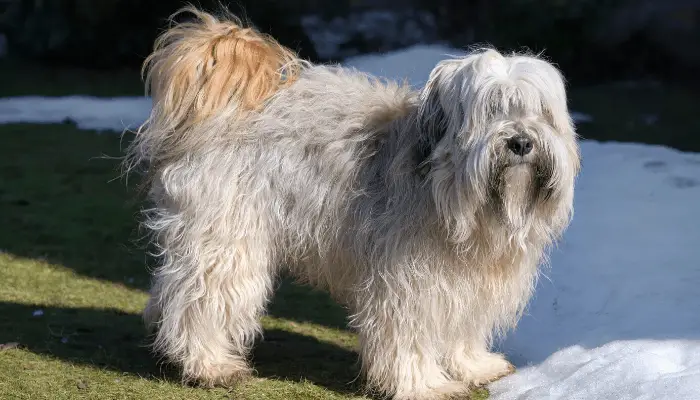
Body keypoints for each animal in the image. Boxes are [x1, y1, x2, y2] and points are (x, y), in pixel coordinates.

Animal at [124, 6, 580, 400]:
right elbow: (409, 334)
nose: (520, 142)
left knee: (176, 286)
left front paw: (473, 365)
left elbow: (462, 328)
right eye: (490, 110)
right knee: (203, 298)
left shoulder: (468, 283)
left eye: (540, 113)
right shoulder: (408, 281)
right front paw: (424, 384)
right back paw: (208, 364)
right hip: (228, 236)